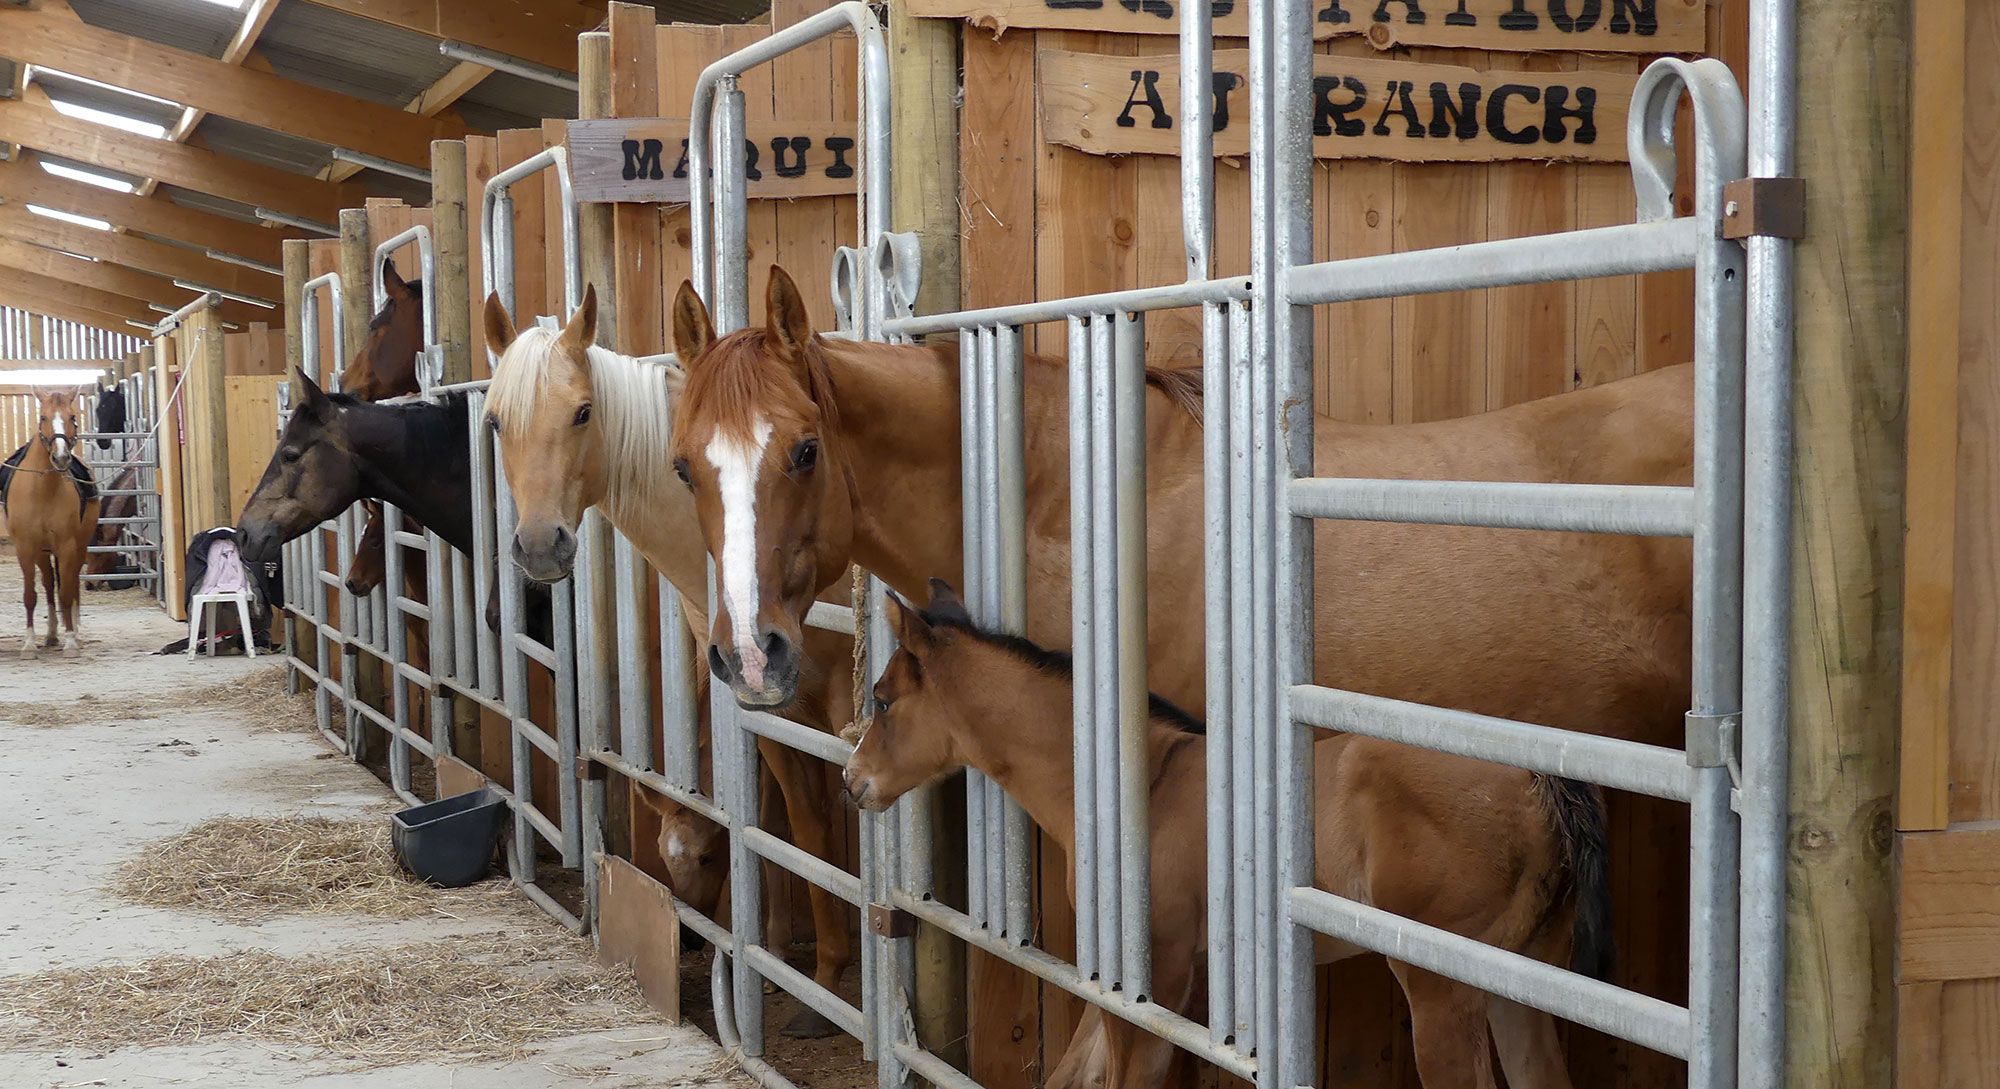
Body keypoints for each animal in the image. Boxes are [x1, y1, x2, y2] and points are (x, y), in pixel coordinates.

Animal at [6, 388, 101, 657]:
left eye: (72, 417)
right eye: (43, 417)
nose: (60, 458)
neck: (43, 491)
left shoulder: (67, 546)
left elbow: (67, 593)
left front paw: (70, 642)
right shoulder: (25, 548)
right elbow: (31, 595)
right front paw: (29, 644)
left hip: (79, 547)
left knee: (72, 584)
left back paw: (74, 633)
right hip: (42, 552)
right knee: (49, 585)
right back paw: (50, 635)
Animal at [481, 287, 857, 1037]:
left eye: (583, 412)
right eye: (496, 422)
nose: (538, 546)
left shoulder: (842, 705)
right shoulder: (766, 702)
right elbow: (795, 828)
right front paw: (794, 963)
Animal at [844, 581, 1606, 1089]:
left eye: (881, 699)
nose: (853, 780)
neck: (1140, 791)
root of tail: (1541, 780)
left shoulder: (1158, 970)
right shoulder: (1117, 969)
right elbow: (1075, 1071)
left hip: (1442, 987)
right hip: (1519, 981)